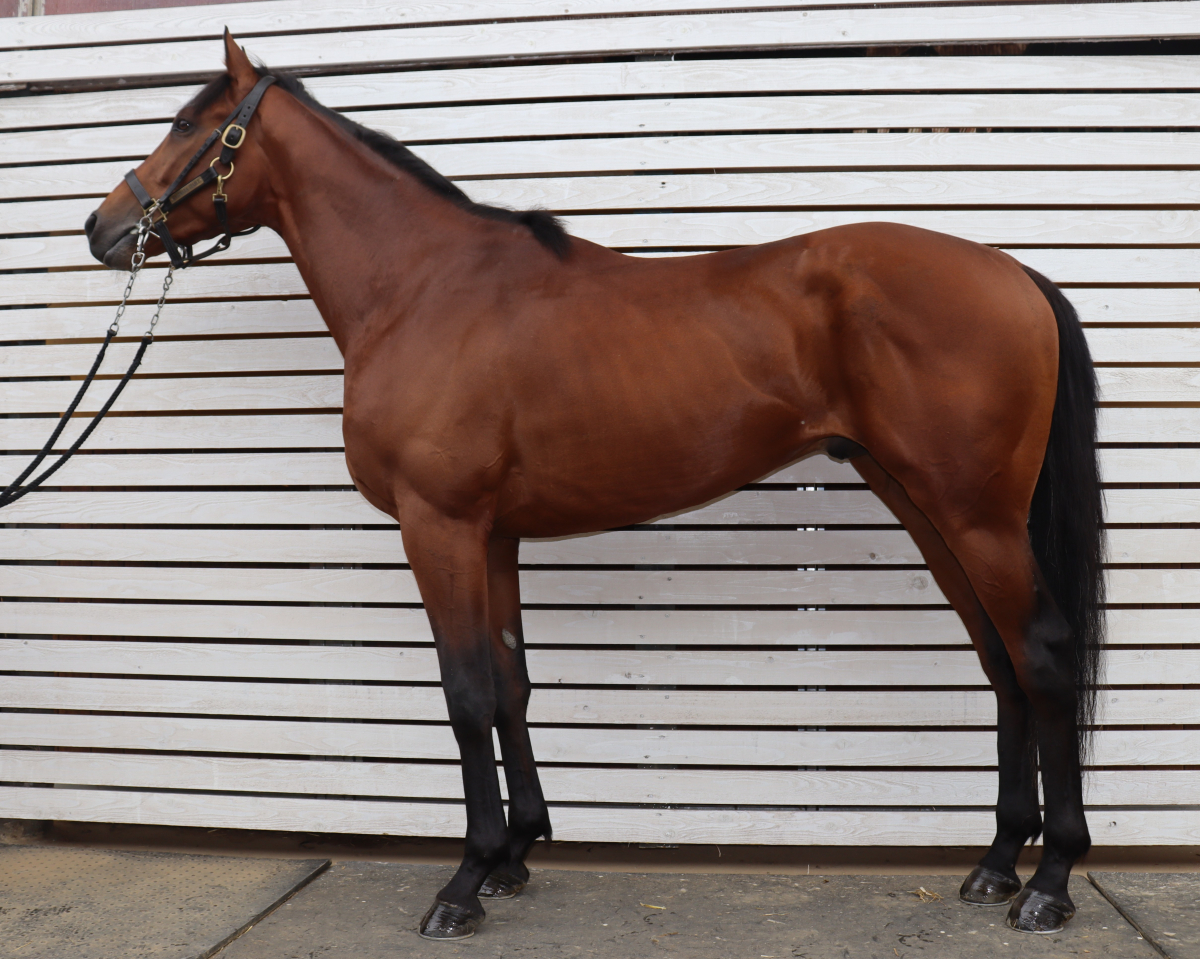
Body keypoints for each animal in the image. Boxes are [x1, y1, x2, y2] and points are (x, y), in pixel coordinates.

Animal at [86, 32, 1105, 941]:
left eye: (191, 125)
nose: (104, 229)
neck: (424, 289)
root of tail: (1012, 270)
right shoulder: (492, 533)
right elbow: (510, 683)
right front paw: (515, 857)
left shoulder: (439, 525)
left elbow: (465, 691)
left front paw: (463, 882)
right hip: (928, 507)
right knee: (1001, 660)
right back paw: (994, 863)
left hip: (976, 517)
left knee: (1044, 653)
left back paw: (1050, 882)